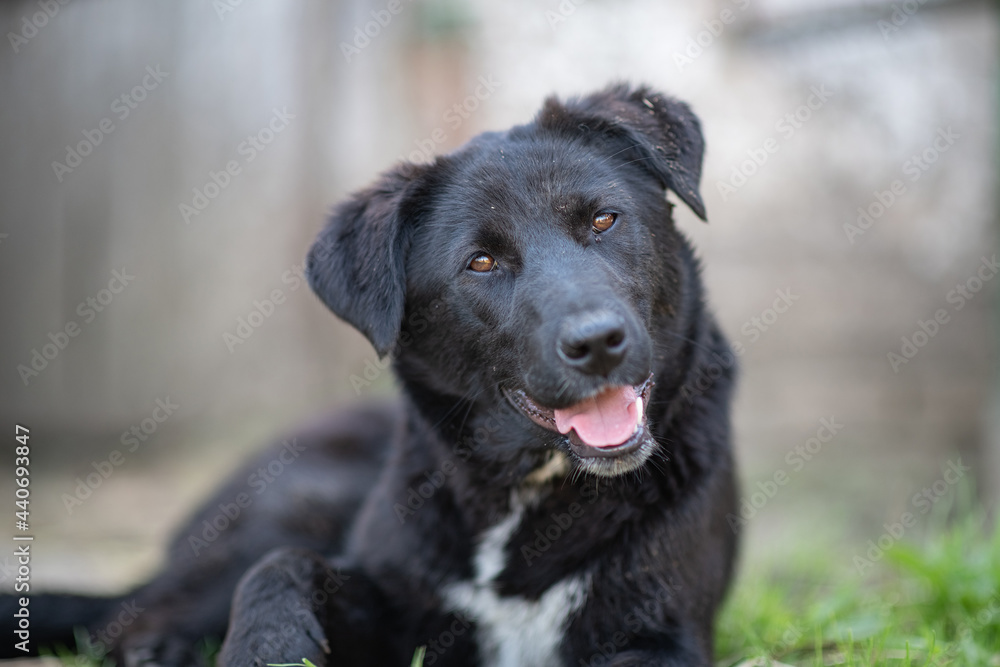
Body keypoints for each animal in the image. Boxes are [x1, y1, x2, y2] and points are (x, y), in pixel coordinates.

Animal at [7, 85, 740, 667]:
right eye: (480, 262)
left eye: (603, 218)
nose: (597, 344)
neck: (526, 491)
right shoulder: (396, 612)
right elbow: (281, 569)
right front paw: (266, 649)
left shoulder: (659, 633)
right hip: (300, 499)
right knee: (129, 618)